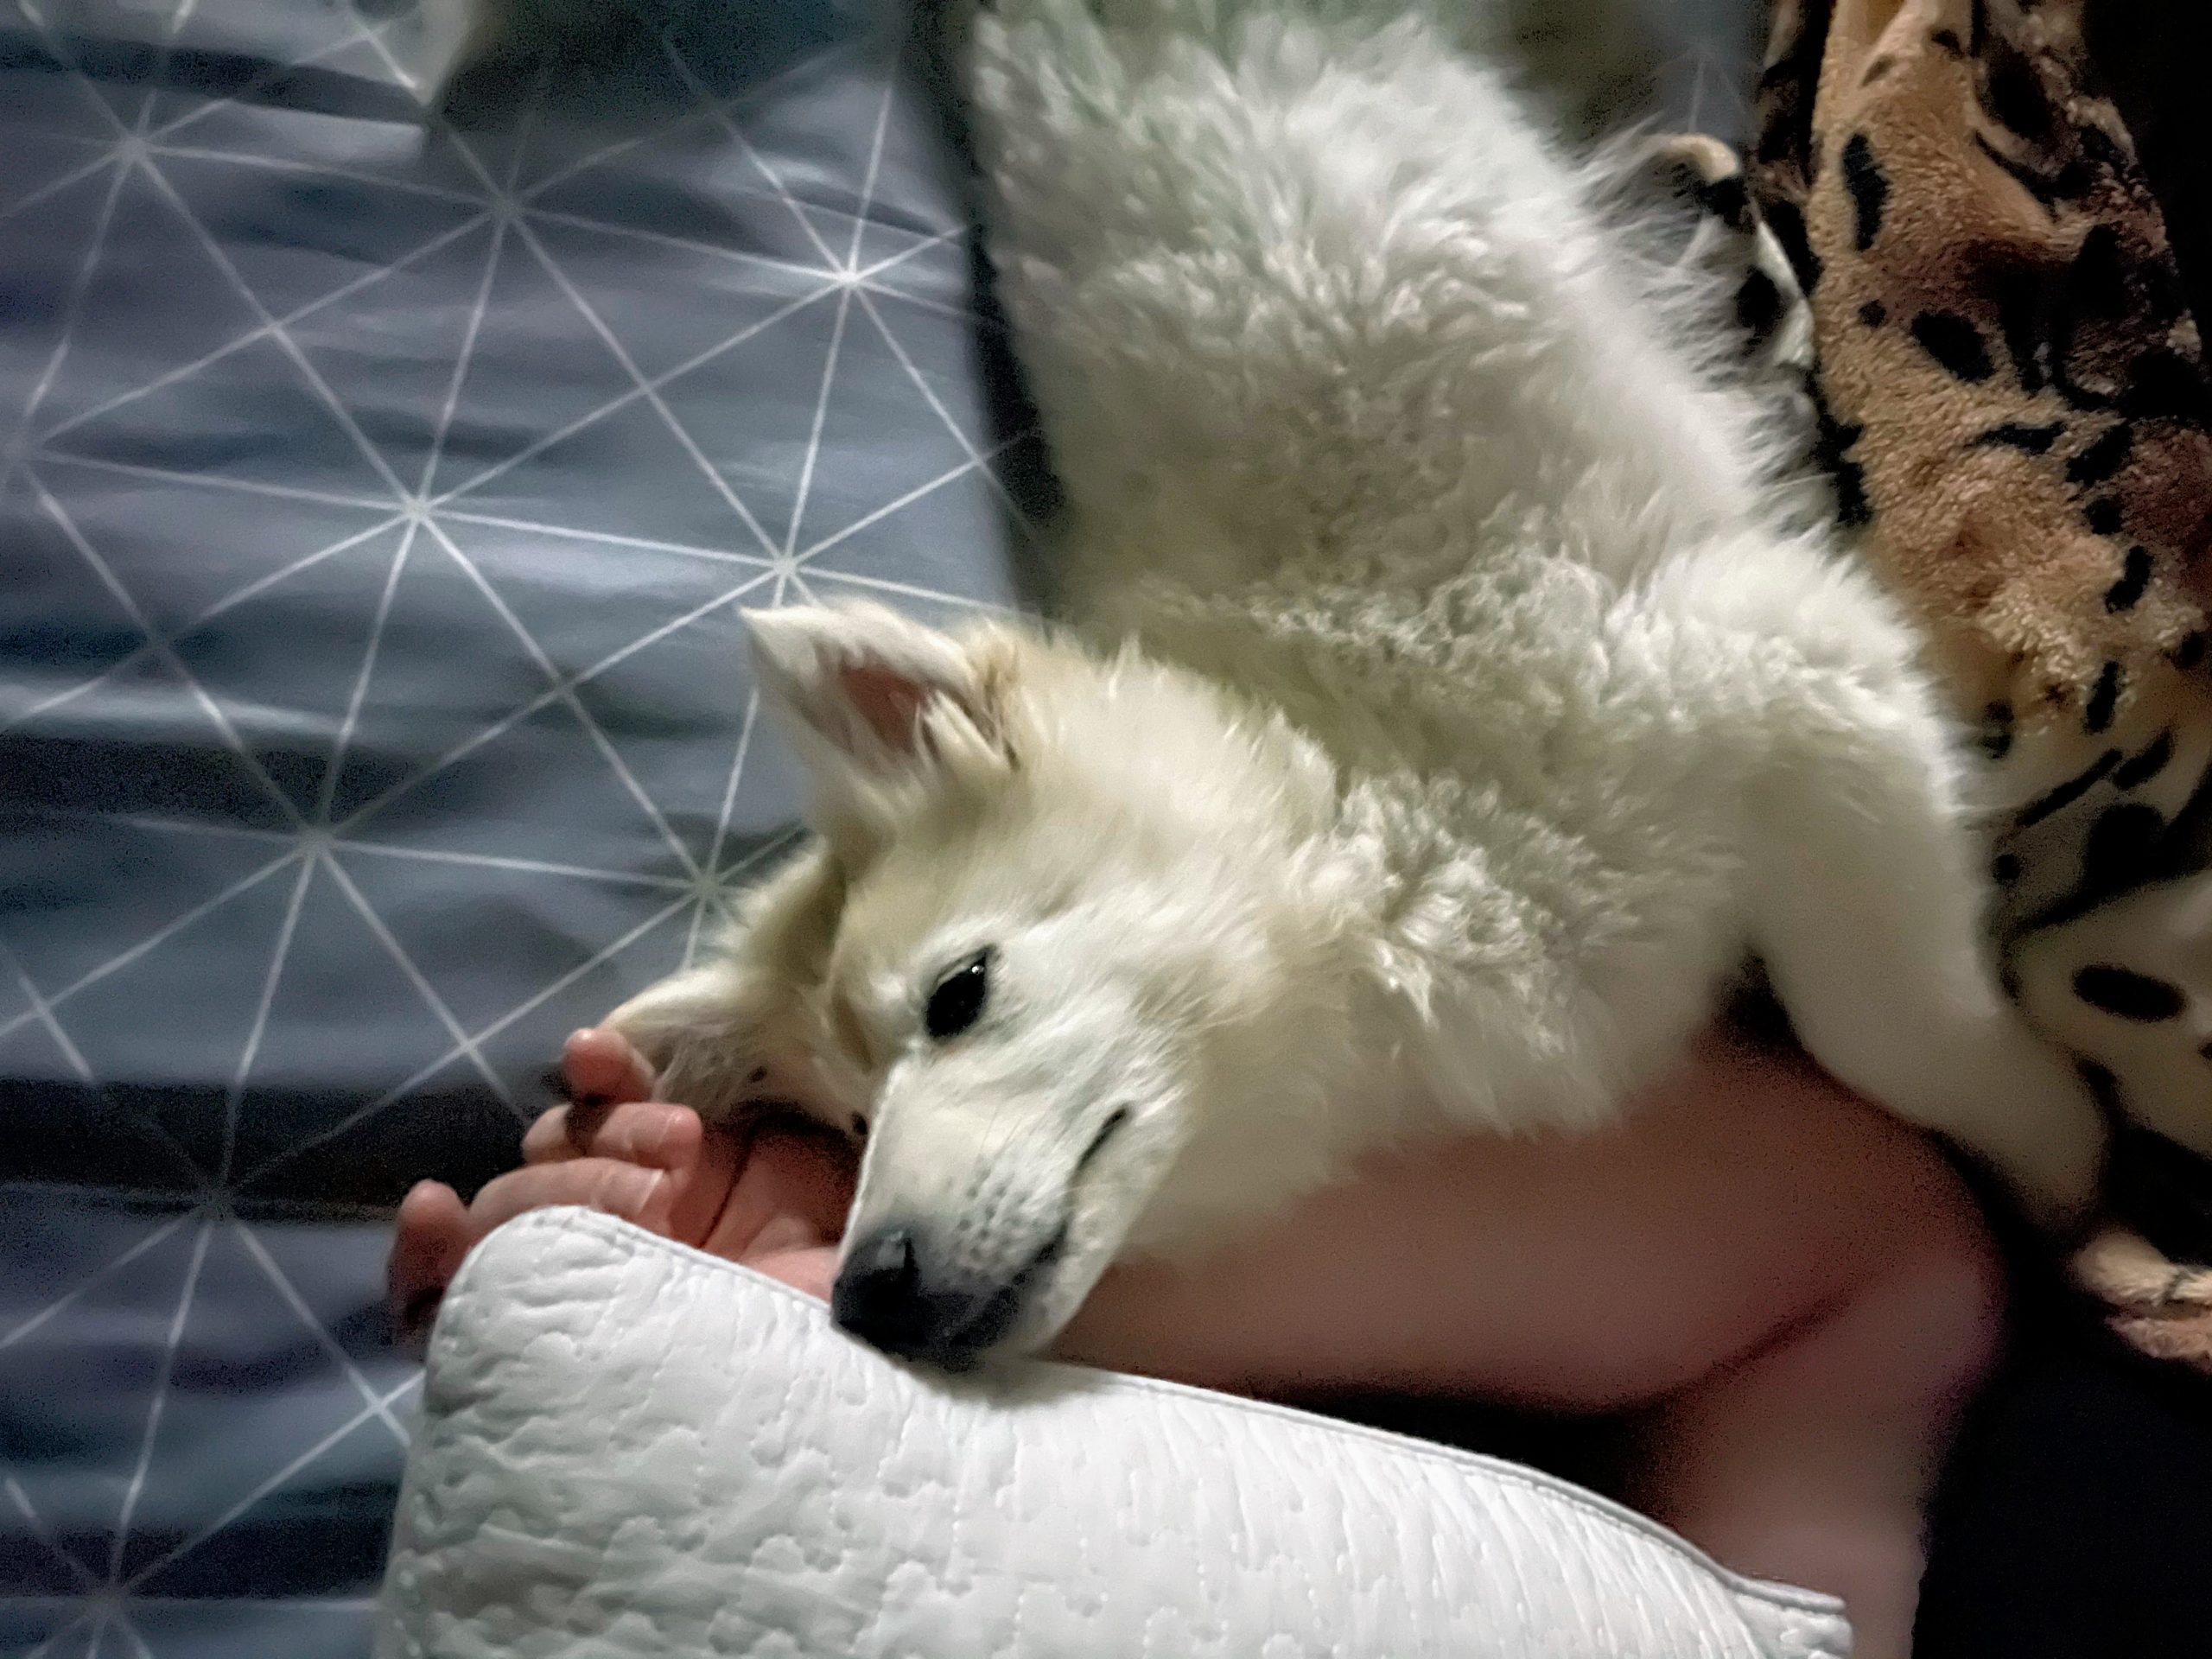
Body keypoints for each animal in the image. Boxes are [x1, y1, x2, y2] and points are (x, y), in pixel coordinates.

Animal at [515, 0, 2117, 1371]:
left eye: (960, 995)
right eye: (848, 1122)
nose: (870, 1297)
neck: (1357, 815)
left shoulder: (1787, 676)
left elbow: (1892, 1029)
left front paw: (2067, 1168)